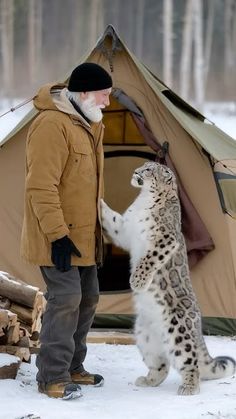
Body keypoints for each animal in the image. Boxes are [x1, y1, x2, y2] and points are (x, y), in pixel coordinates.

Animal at [100, 162, 236, 398]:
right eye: (143, 166)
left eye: (148, 170)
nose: (136, 171)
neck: (143, 199)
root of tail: (197, 323)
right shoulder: (125, 230)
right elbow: (114, 220)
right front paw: (99, 202)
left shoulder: (166, 238)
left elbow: (149, 258)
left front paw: (137, 281)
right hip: (144, 338)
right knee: (161, 365)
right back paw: (148, 380)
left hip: (179, 333)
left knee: (191, 364)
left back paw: (188, 388)